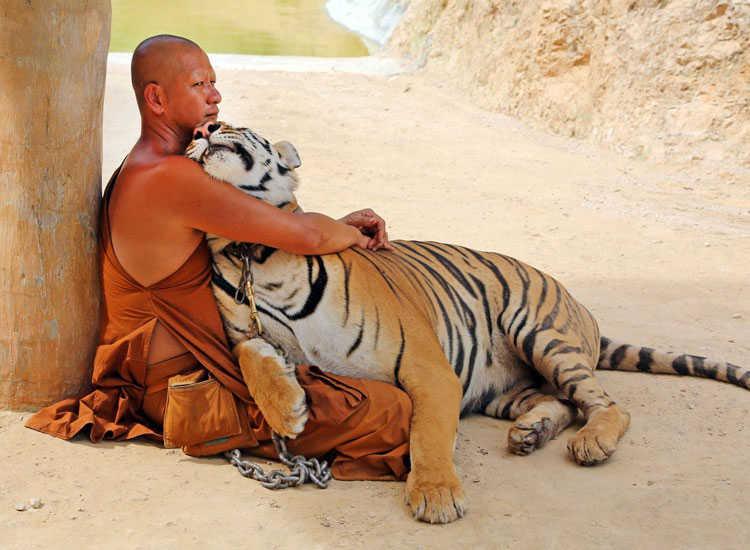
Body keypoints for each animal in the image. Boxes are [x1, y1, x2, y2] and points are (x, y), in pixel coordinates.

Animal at [184, 121, 750, 528]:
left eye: (232, 123)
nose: (204, 129)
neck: (251, 250)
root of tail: (581, 308)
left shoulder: (427, 365)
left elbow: (429, 433)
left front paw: (435, 496)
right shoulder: (246, 333)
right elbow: (250, 357)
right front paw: (289, 411)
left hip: (540, 333)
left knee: (605, 404)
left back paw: (592, 443)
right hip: (502, 388)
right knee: (563, 402)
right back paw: (530, 433)